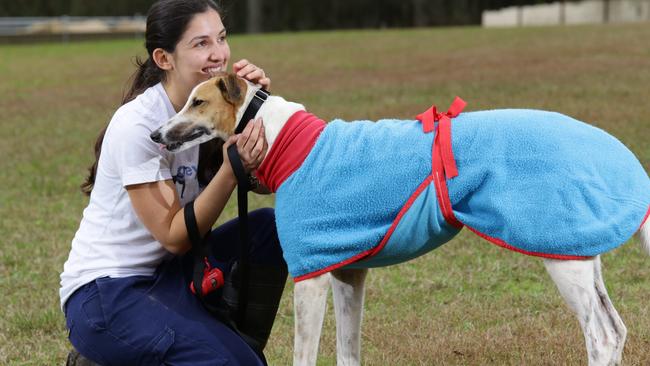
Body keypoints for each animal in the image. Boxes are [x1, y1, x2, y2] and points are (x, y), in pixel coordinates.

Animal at [152, 72, 648, 366]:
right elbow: (348, 354)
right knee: (616, 329)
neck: (288, 142)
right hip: (581, 250)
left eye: (196, 101)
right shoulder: (347, 273)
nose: (156, 134)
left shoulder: (311, 279)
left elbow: (304, 355)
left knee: (601, 336)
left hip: (561, 251)